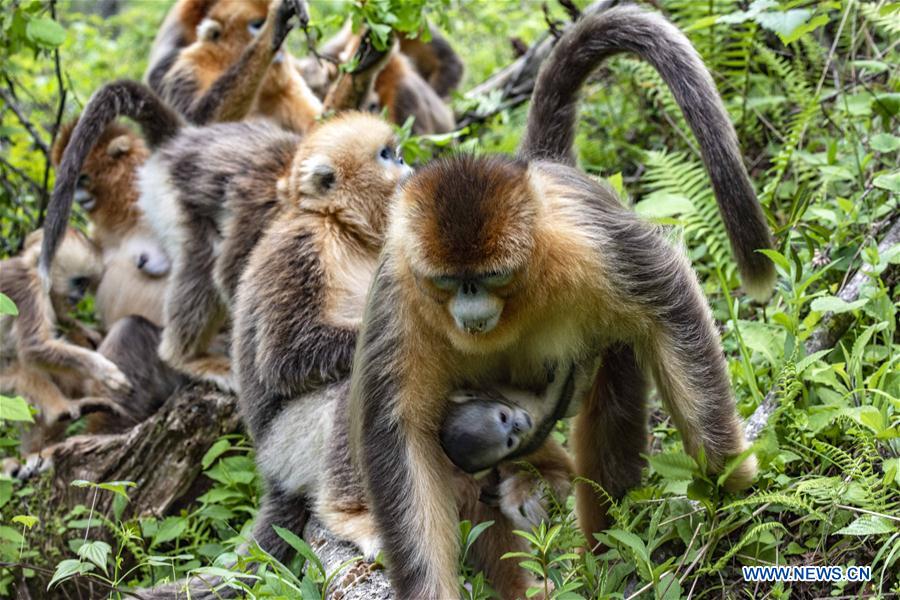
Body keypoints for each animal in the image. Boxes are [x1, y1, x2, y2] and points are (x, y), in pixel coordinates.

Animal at [0, 229, 130, 453]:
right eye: (79, 282)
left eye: (85, 284)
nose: (80, 295)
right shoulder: (29, 286)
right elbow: (35, 347)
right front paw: (103, 369)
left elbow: (61, 318)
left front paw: (92, 334)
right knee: (23, 368)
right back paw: (62, 411)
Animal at [145, 0, 321, 133]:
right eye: (258, 25)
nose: (282, 49)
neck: (224, 62)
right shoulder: (188, 66)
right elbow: (197, 122)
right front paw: (272, 29)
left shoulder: (285, 84)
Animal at [347, 6, 774, 597]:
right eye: (449, 281)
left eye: (492, 276)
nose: (470, 307)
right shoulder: (400, 291)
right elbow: (399, 440)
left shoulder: (582, 240)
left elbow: (668, 298)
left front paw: (730, 482)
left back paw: (608, 557)